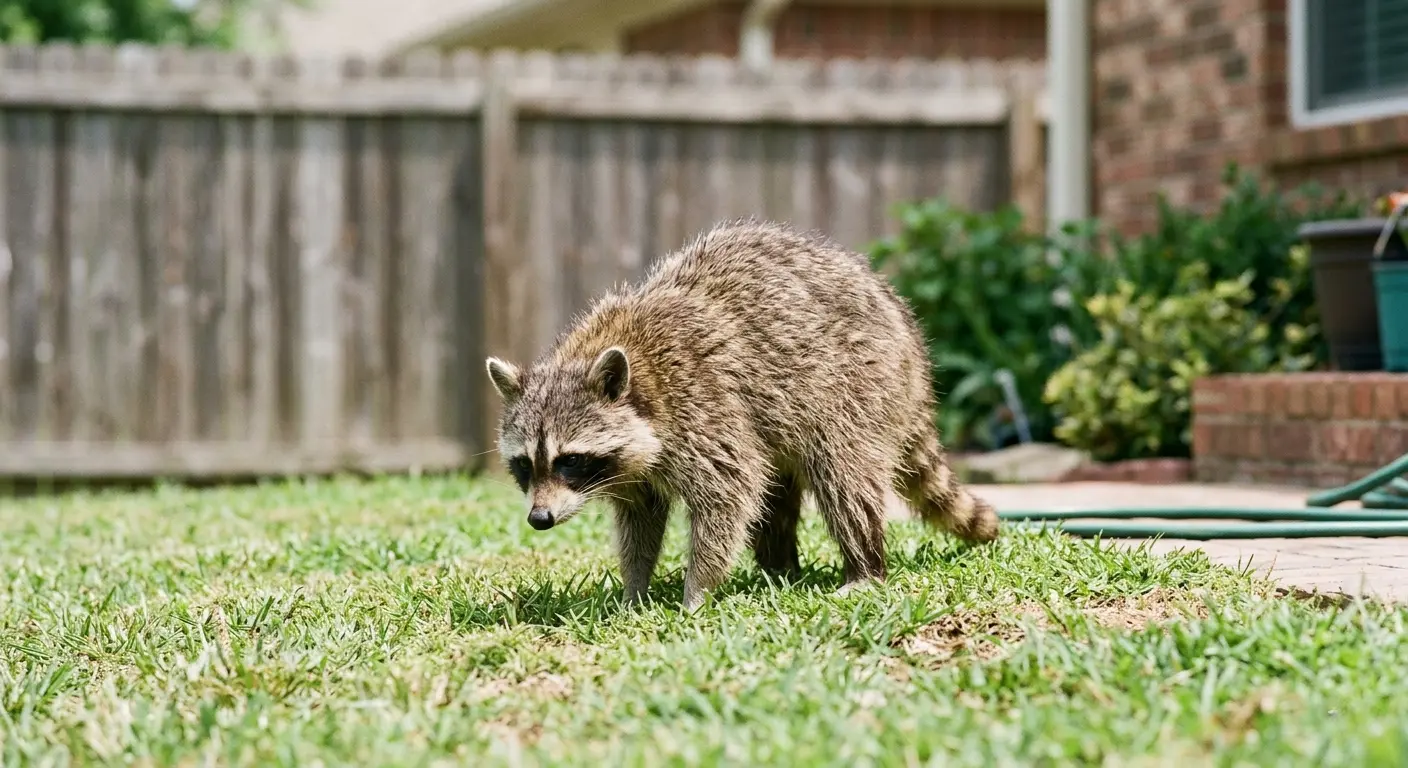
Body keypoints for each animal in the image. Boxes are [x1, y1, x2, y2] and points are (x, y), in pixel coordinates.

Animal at [485, 219, 999, 612]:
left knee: (843, 475)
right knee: (777, 494)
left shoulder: (705, 406)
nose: (540, 518)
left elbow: (728, 495)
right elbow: (641, 519)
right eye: (525, 465)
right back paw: (780, 568)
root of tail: (912, 348)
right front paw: (634, 590)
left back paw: (864, 567)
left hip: (859, 386)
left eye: (569, 461)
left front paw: (696, 591)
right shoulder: (636, 465)